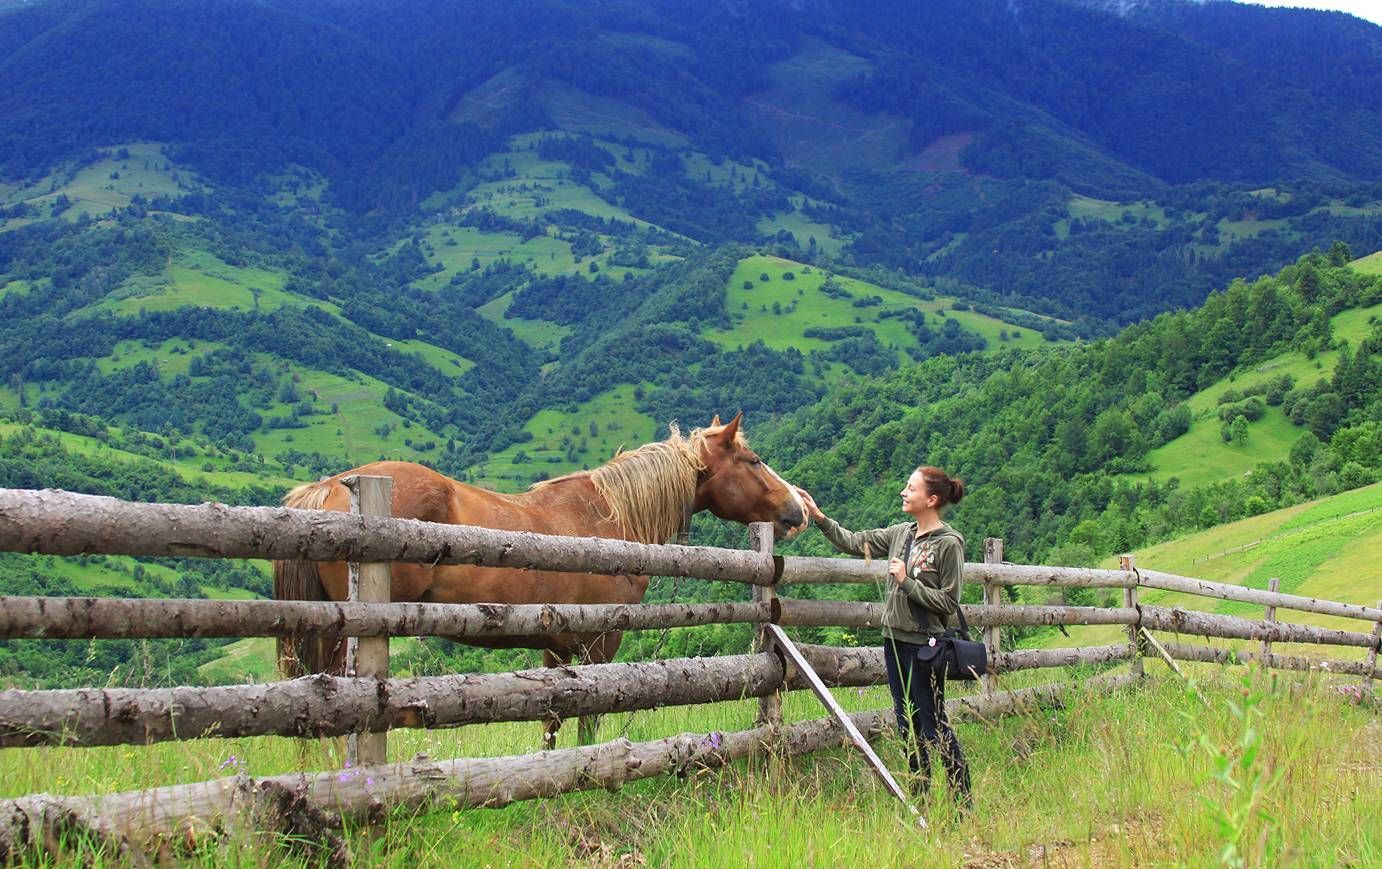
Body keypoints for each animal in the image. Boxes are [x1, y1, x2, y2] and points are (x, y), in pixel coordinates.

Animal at [273, 414, 807, 746]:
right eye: (754, 461)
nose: (797, 511)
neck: (609, 517)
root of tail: (329, 488)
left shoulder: (557, 646)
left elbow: (552, 720)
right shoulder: (597, 644)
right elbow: (589, 717)